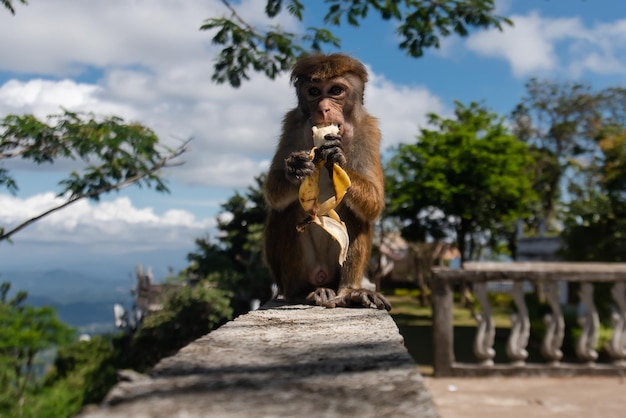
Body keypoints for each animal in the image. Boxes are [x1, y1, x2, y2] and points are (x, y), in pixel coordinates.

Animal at [260, 53, 388, 310]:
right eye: (314, 92)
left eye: (336, 90)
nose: (323, 108)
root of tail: (322, 277)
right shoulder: (291, 124)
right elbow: (273, 192)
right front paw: (295, 168)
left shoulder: (369, 130)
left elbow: (374, 204)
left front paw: (338, 159)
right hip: (303, 273)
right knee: (285, 211)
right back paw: (302, 293)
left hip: (334, 270)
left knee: (357, 215)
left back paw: (350, 291)